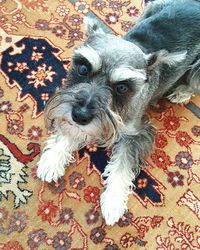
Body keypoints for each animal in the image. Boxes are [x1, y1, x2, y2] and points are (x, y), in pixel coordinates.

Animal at [36, 0, 200, 226]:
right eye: (83, 68)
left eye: (122, 87)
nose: (80, 115)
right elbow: (68, 132)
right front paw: (53, 158)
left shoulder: (136, 134)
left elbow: (122, 164)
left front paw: (113, 201)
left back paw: (182, 92)